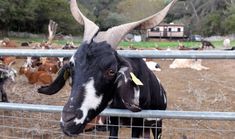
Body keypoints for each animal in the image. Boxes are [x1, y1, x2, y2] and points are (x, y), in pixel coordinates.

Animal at [37, 0, 176, 138]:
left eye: (111, 71)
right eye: (71, 67)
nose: (68, 121)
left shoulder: (137, 121)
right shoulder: (114, 118)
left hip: (157, 123)